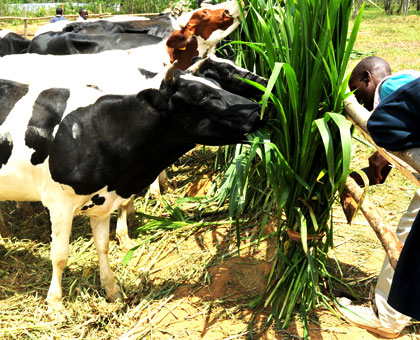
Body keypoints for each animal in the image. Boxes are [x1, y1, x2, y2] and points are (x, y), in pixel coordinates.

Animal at [0, 66, 262, 308]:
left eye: (216, 83)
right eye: (201, 95)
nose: (258, 110)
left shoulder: (102, 203)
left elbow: (103, 247)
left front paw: (112, 289)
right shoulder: (59, 204)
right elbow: (59, 255)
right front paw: (55, 302)